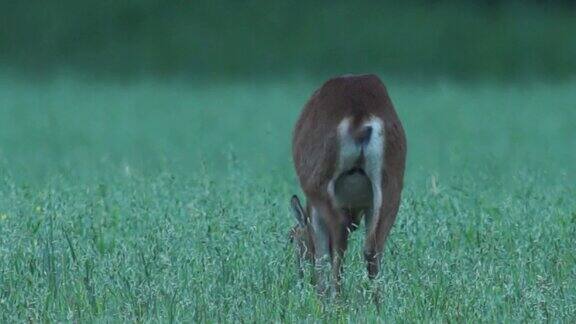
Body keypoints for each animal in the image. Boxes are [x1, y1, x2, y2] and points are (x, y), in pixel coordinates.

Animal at [288, 74, 404, 296]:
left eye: (292, 237)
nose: (298, 276)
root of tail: (360, 118)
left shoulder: (314, 210)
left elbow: (322, 254)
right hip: (391, 183)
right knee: (373, 247)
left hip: (320, 180)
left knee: (340, 237)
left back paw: (336, 299)